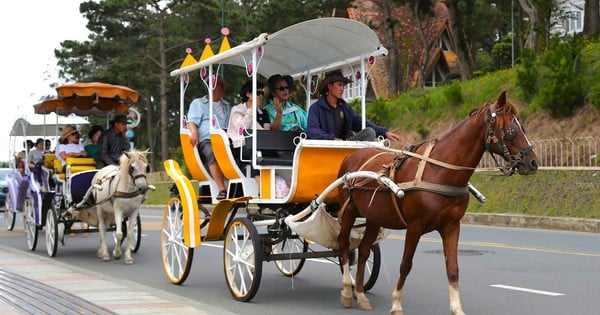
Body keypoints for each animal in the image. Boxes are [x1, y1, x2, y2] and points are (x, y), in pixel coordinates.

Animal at [338, 90, 540, 314]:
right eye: (511, 131)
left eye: (523, 128)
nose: (533, 162)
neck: (441, 171)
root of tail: (352, 155)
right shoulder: (415, 227)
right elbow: (405, 264)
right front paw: (396, 303)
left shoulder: (451, 226)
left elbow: (453, 268)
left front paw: (456, 307)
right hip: (348, 211)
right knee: (343, 245)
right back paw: (347, 290)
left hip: (374, 217)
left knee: (364, 250)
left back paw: (360, 293)